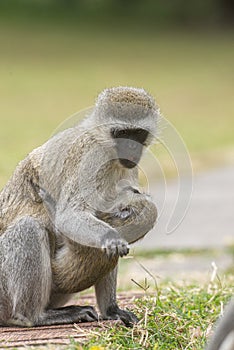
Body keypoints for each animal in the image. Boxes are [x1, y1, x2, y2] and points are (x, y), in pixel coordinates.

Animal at [0, 86, 159, 326]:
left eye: (137, 134)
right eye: (122, 133)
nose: (131, 148)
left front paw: (111, 310)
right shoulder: (90, 160)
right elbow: (69, 216)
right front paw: (110, 237)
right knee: (29, 228)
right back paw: (34, 316)